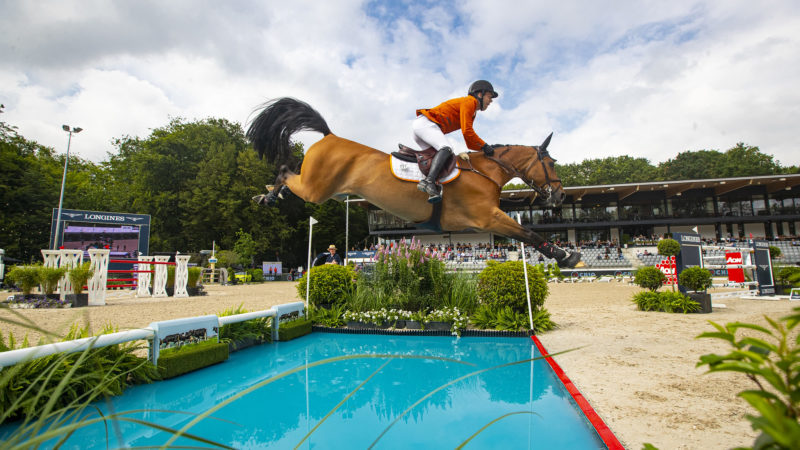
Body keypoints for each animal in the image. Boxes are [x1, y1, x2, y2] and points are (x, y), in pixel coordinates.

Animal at [245, 98, 580, 268]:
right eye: (551, 163)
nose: (561, 196)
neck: (487, 172)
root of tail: (329, 135)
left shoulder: (486, 222)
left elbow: (525, 235)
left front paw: (564, 255)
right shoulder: (488, 217)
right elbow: (529, 233)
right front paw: (568, 256)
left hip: (323, 189)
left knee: (289, 178)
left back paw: (268, 197)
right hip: (316, 189)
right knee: (286, 172)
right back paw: (268, 195)